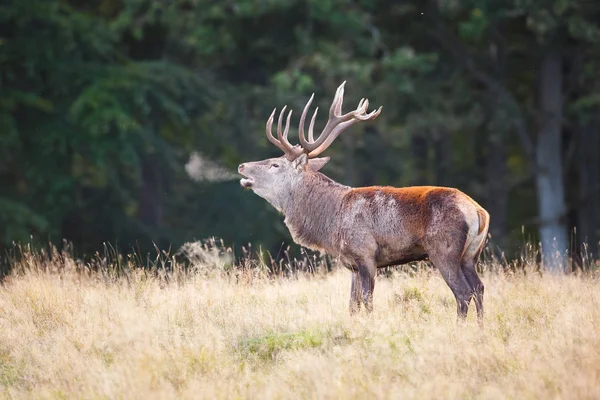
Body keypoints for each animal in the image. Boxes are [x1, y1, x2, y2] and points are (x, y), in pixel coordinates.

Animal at [237, 82, 490, 324]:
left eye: (275, 164)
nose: (241, 166)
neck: (331, 222)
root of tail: (479, 212)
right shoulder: (352, 263)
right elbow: (352, 305)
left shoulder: (365, 253)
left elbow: (367, 301)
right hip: (470, 255)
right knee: (479, 287)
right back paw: (480, 327)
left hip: (443, 250)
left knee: (463, 292)